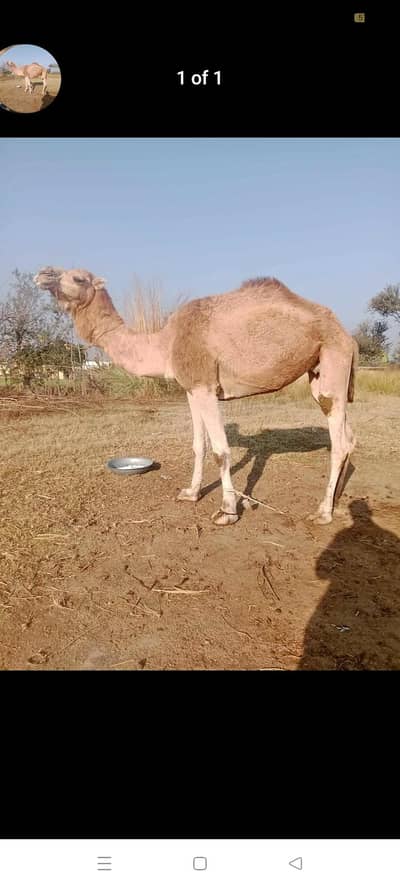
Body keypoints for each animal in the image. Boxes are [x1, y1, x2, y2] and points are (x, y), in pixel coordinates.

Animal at [34, 267, 358, 526]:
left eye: (77, 277)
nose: (42, 274)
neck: (164, 344)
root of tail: (347, 334)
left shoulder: (204, 385)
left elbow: (220, 451)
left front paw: (227, 511)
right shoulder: (191, 389)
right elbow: (197, 445)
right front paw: (190, 493)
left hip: (333, 358)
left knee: (339, 440)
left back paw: (323, 512)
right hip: (319, 371)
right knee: (349, 436)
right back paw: (337, 499)